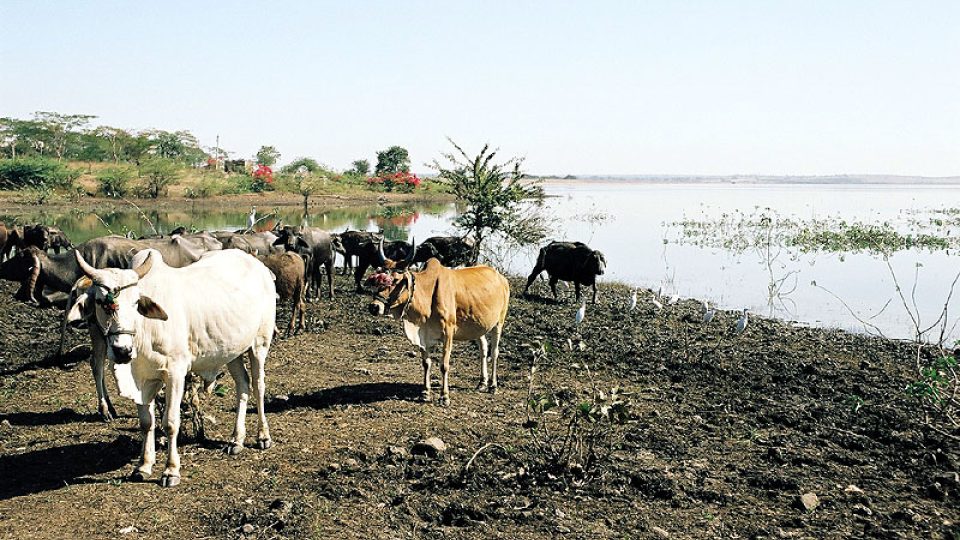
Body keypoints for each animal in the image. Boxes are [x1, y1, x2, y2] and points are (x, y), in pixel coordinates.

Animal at [66, 247, 278, 488]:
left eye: (136, 303)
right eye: (102, 302)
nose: (122, 351)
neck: (145, 331)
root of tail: (257, 264)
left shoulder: (175, 374)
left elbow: (170, 422)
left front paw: (171, 470)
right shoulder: (143, 380)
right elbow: (146, 423)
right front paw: (143, 465)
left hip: (259, 343)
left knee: (258, 386)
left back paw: (263, 436)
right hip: (231, 349)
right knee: (243, 385)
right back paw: (236, 440)